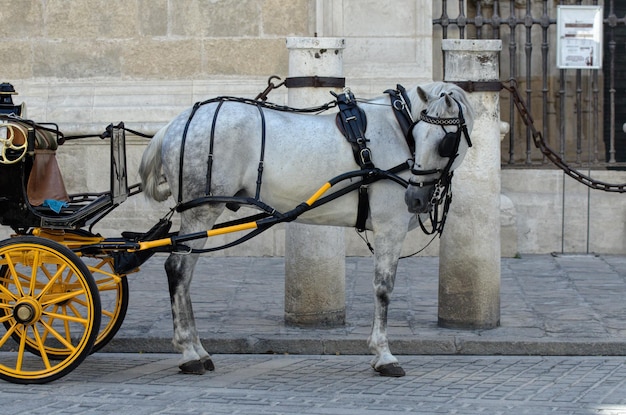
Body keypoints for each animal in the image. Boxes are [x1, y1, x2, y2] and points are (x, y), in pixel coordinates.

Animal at [139, 81, 472, 376]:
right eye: (419, 135)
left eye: (444, 143)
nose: (414, 198)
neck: (398, 131)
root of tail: (173, 124)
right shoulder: (390, 227)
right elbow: (383, 288)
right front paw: (384, 355)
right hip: (202, 211)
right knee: (178, 269)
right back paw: (188, 352)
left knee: (185, 274)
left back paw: (198, 350)